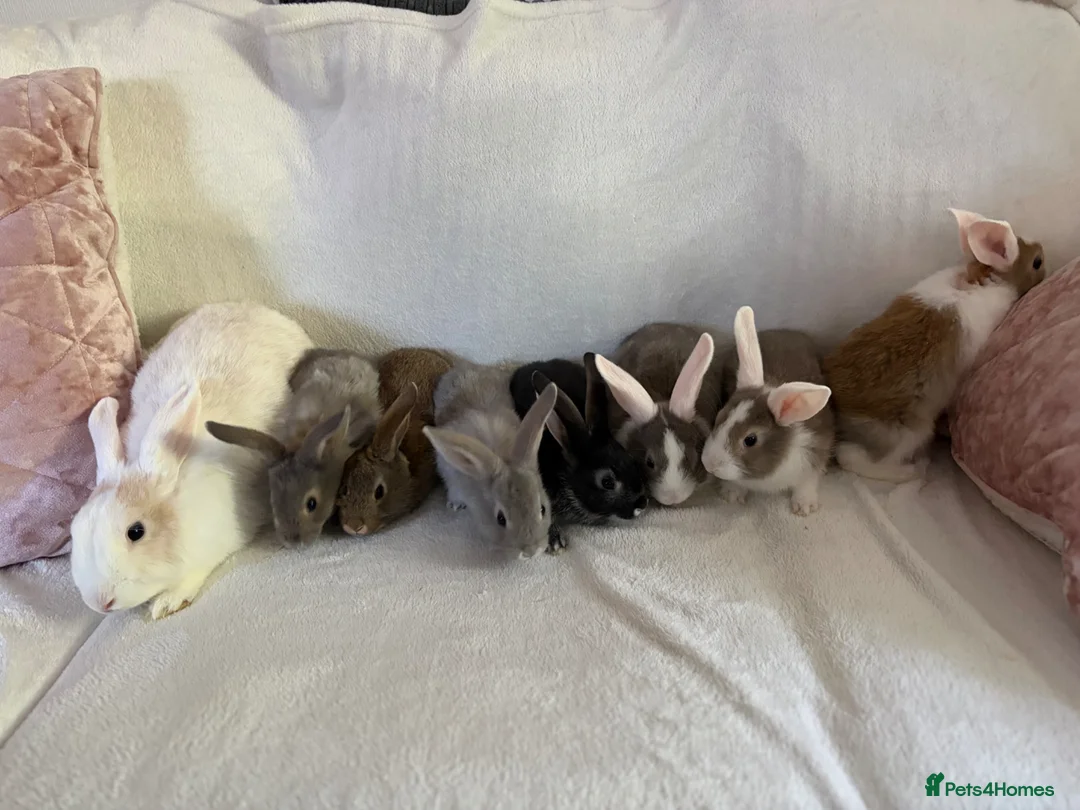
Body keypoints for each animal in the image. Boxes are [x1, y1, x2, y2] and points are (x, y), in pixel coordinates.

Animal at [702, 307, 834, 515]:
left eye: (750, 440)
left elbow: (807, 482)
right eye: (718, 418)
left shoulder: (815, 454)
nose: (710, 464)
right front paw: (732, 495)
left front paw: (804, 507)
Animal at [823, 208, 1045, 483]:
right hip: (907, 432)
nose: (1044, 253)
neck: (984, 276)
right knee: (851, 457)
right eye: (1037, 262)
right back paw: (911, 471)